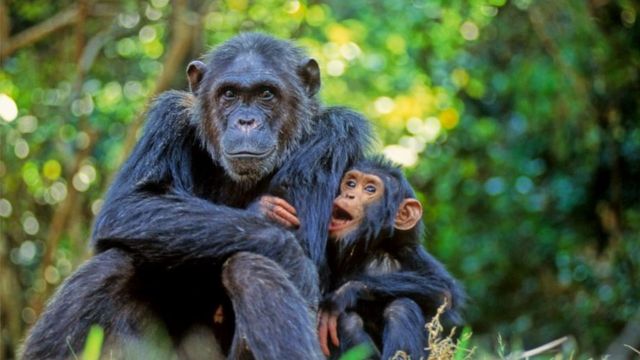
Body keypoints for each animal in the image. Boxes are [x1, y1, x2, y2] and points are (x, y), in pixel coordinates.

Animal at [23, 32, 370, 358]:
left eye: (266, 94)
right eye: (229, 94)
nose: (246, 121)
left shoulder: (336, 134)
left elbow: (303, 240)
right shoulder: (168, 119)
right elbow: (128, 204)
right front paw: (268, 222)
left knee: (250, 269)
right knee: (111, 265)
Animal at [316, 158, 464, 360]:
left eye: (370, 189)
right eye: (351, 184)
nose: (348, 195)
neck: (368, 249)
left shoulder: (412, 255)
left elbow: (444, 293)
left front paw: (346, 291)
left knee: (401, 307)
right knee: (347, 321)